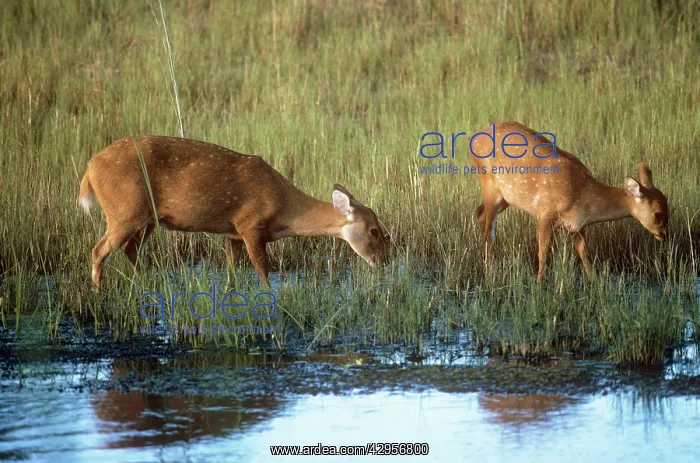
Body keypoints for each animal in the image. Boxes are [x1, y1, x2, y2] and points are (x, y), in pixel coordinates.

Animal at [78, 136, 388, 290]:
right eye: (374, 230)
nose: (384, 262)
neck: (285, 209)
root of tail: (90, 169)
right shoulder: (250, 225)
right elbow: (262, 272)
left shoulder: (233, 234)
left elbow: (231, 273)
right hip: (124, 211)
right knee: (99, 250)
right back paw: (99, 293)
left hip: (148, 218)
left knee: (130, 250)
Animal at [469, 121, 669, 281]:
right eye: (658, 213)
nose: (664, 235)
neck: (582, 195)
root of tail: (475, 137)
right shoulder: (545, 212)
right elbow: (543, 252)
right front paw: (539, 283)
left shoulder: (577, 226)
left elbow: (584, 254)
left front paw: (594, 282)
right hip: (489, 186)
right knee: (489, 230)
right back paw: (489, 269)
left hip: (506, 197)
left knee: (479, 214)